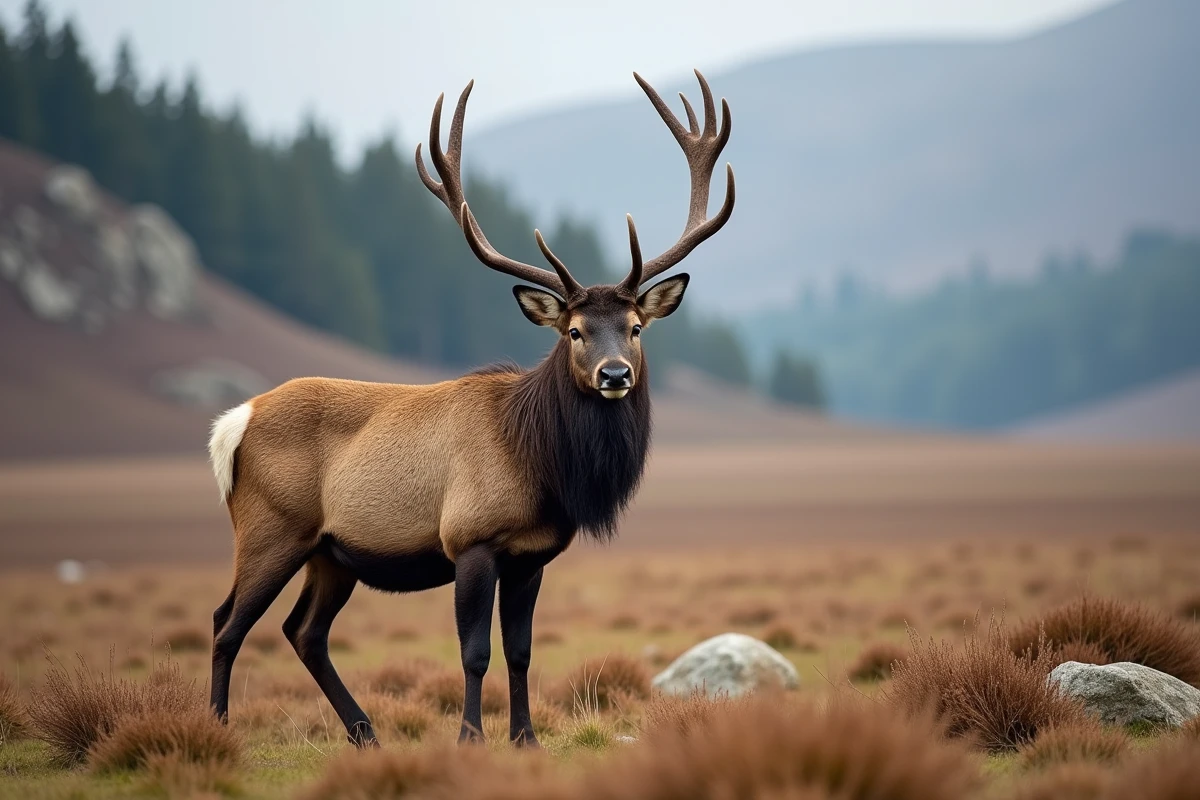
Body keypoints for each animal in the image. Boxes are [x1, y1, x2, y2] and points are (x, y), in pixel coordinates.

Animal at [206, 70, 734, 749]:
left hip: (331, 552)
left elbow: (522, 652)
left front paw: (525, 737)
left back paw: (365, 732)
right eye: (574, 331)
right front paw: (470, 737)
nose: (614, 374)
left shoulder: (532, 555)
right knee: (227, 621)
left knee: (304, 632)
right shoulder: (470, 538)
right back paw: (218, 728)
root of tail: (232, 425)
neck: (542, 464)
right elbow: (475, 651)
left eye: (636, 328)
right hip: (271, 528)